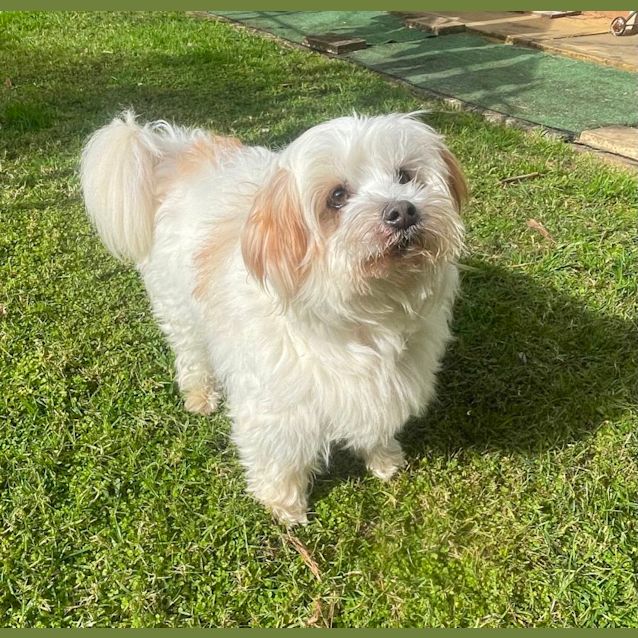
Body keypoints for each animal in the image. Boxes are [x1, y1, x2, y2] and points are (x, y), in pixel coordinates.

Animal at [81, 111, 470, 524]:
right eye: (337, 196)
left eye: (405, 176)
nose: (403, 211)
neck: (366, 312)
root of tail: (171, 151)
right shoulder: (274, 403)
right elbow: (277, 455)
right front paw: (284, 503)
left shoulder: (389, 381)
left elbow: (375, 422)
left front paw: (383, 457)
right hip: (178, 307)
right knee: (191, 354)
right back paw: (200, 393)